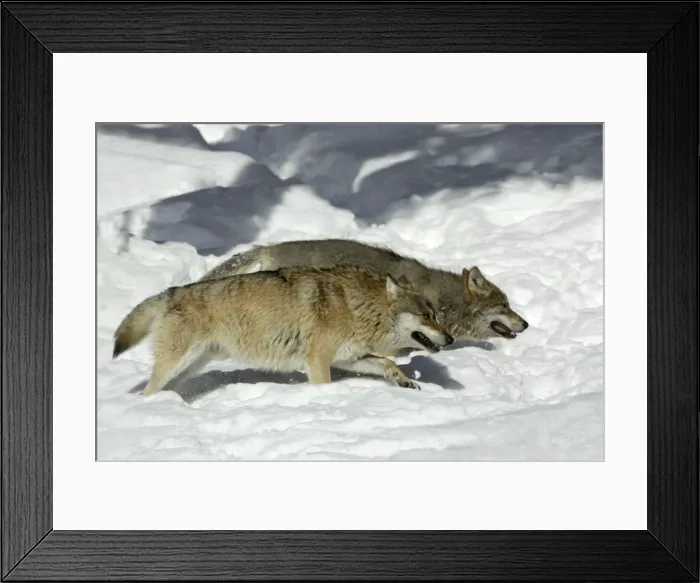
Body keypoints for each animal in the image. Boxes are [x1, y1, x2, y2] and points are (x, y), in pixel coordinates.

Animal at [113, 265, 453, 396]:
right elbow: (325, 386)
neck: (356, 306)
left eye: (436, 315)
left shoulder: (348, 358)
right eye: (427, 316)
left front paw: (405, 382)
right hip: (175, 362)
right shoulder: (318, 362)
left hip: (190, 366)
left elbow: (388, 362)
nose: (450, 339)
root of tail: (172, 292)